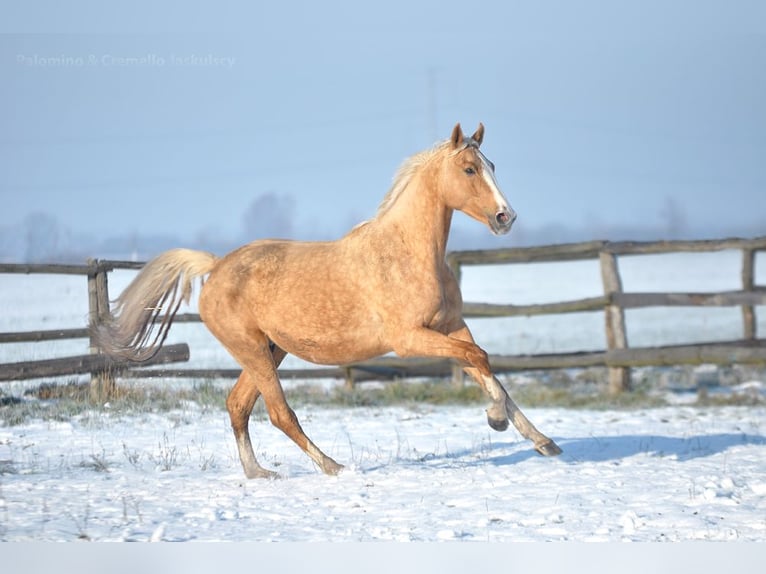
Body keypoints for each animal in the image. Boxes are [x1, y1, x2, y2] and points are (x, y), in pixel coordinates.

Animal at [94, 123, 562, 478]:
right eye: (468, 169)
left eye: (492, 165)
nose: (506, 217)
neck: (409, 253)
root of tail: (217, 265)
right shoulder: (410, 339)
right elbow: (480, 360)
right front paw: (496, 420)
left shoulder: (451, 326)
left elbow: (485, 367)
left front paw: (543, 441)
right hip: (253, 350)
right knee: (279, 413)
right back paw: (333, 467)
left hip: (269, 350)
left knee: (238, 405)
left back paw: (259, 473)